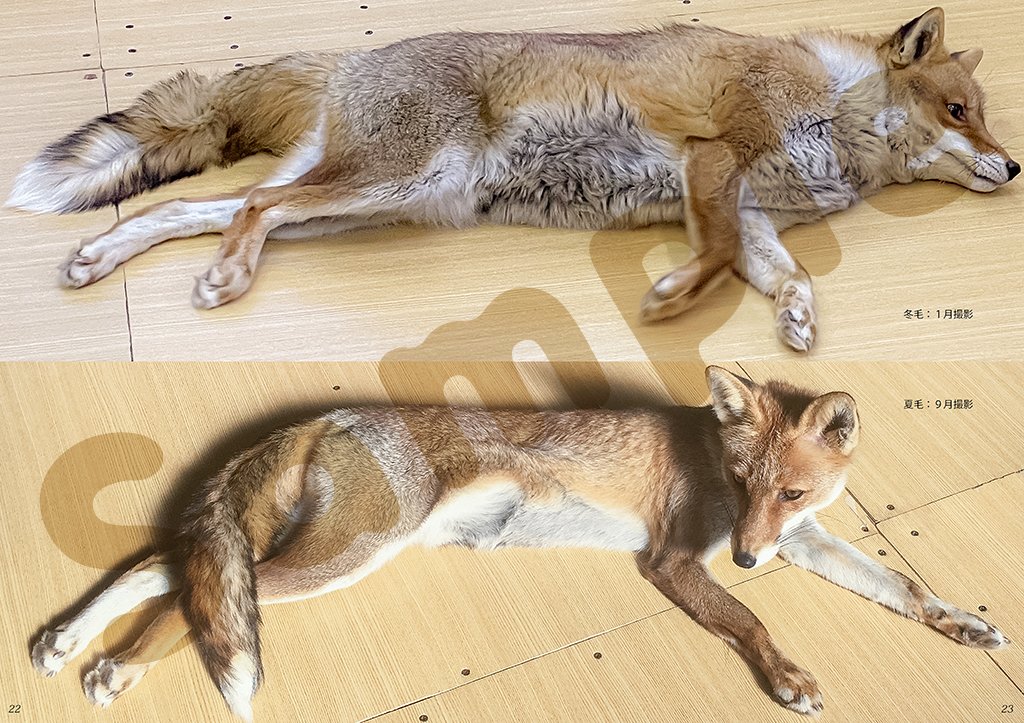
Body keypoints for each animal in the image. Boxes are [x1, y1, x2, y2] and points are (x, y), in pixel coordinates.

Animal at [4, 8, 1019, 351]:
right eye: (960, 110)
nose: (1014, 166)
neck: (837, 107)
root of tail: (345, 61)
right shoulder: (716, 155)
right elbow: (716, 259)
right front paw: (670, 298)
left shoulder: (753, 207)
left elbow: (778, 270)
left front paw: (797, 318)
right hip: (396, 180)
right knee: (251, 200)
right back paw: (226, 276)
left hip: (366, 201)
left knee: (193, 206)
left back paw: (102, 257)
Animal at [30, 366, 1008, 719]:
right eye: (738, 486)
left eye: (791, 493)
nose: (743, 557)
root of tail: (333, 412)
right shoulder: (673, 560)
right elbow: (750, 623)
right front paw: (787, 676)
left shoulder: (799, 544)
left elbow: (904, 589)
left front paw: (962, 622)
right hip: (339, 558)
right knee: (188, 591)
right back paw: (112, 666)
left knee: (163, 567)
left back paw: (68, 640)